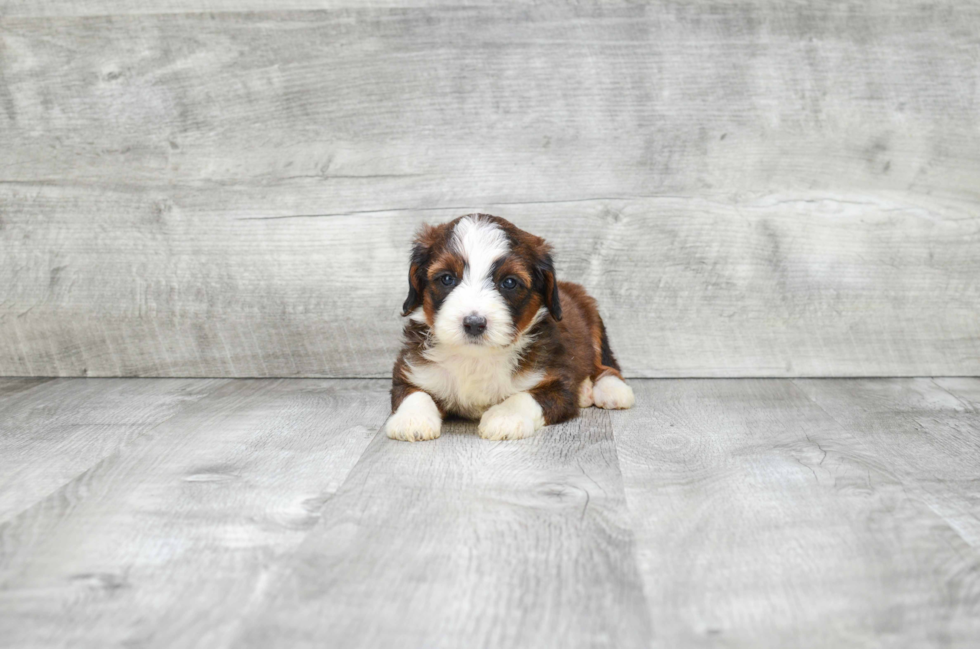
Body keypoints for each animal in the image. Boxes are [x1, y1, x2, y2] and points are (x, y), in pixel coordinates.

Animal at [384, 215, 636, 442]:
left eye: (509, 282)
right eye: (446, 278)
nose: (474, 323)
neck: (476, 358)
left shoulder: (558, 384)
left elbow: (524, 397)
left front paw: (505, 417)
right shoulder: (410, 369)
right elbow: (415, 393)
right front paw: (412, 420)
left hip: (592, 317)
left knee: (604, 363)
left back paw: (611, 390)